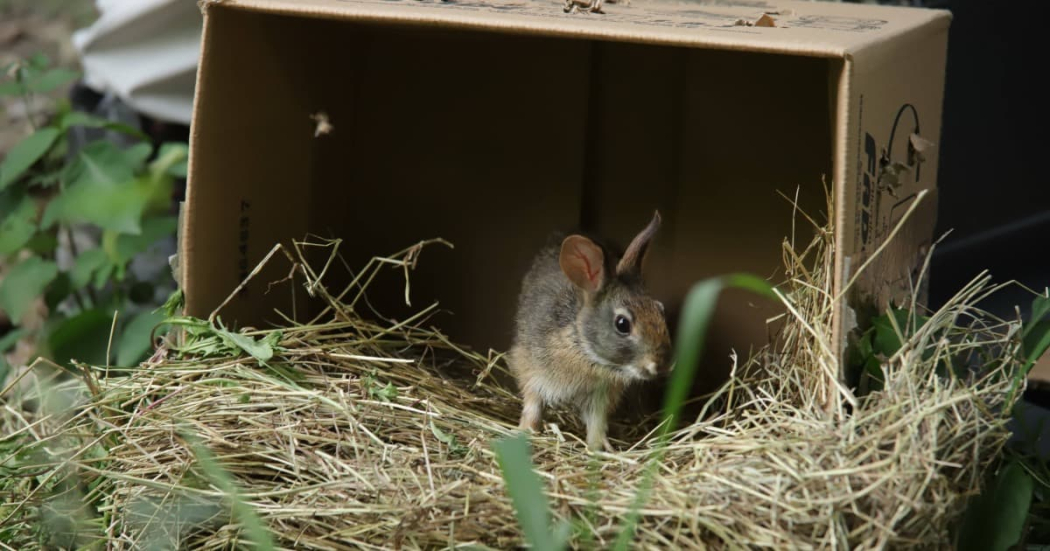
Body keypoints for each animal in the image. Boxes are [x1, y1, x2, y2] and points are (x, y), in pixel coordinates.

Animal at [508, 208, 672, 449]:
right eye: (622, 324)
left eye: (660, 310)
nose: (662, 365)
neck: (582, 349)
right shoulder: (531, 371)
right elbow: (533, 405)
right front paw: (526, 431)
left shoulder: (600, 399)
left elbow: (597, 423)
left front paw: (599, 447)